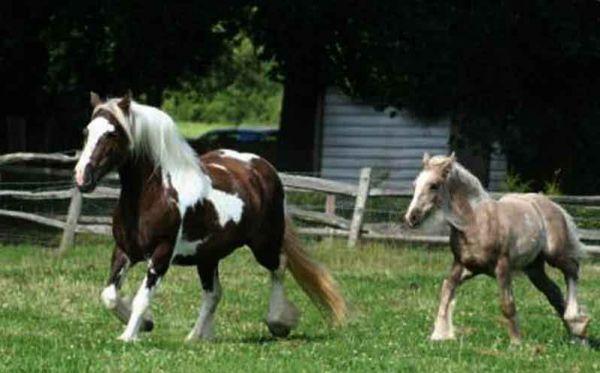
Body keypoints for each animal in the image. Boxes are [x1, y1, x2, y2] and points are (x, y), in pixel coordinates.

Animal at [74, 92, 346, 340]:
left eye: (112, 134)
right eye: (87, 132)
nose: (82, 178)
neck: (153, 195)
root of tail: (263, 168)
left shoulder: (162, 253)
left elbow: (142, 297)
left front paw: (129, 335)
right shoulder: (125, 250)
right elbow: (109, 295)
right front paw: (146, 324)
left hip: (263, 244)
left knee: (279, 266)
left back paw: (277, 322)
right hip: (207, 256)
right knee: (214, 294)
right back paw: (196, 337)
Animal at [406, 153, 588, 344]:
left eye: (433, 185)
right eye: (415, 184)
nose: (411, 217)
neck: (473, 222)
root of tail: (555, 206)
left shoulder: (503, 266)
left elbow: (507, 305)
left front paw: (516, 342)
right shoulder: (463, 265)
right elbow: (446, 290)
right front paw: (439, 335)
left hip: (554, 255)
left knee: (573, 270)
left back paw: (577, 322)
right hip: (534, 269)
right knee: (553, 292)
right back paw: (577, 336)